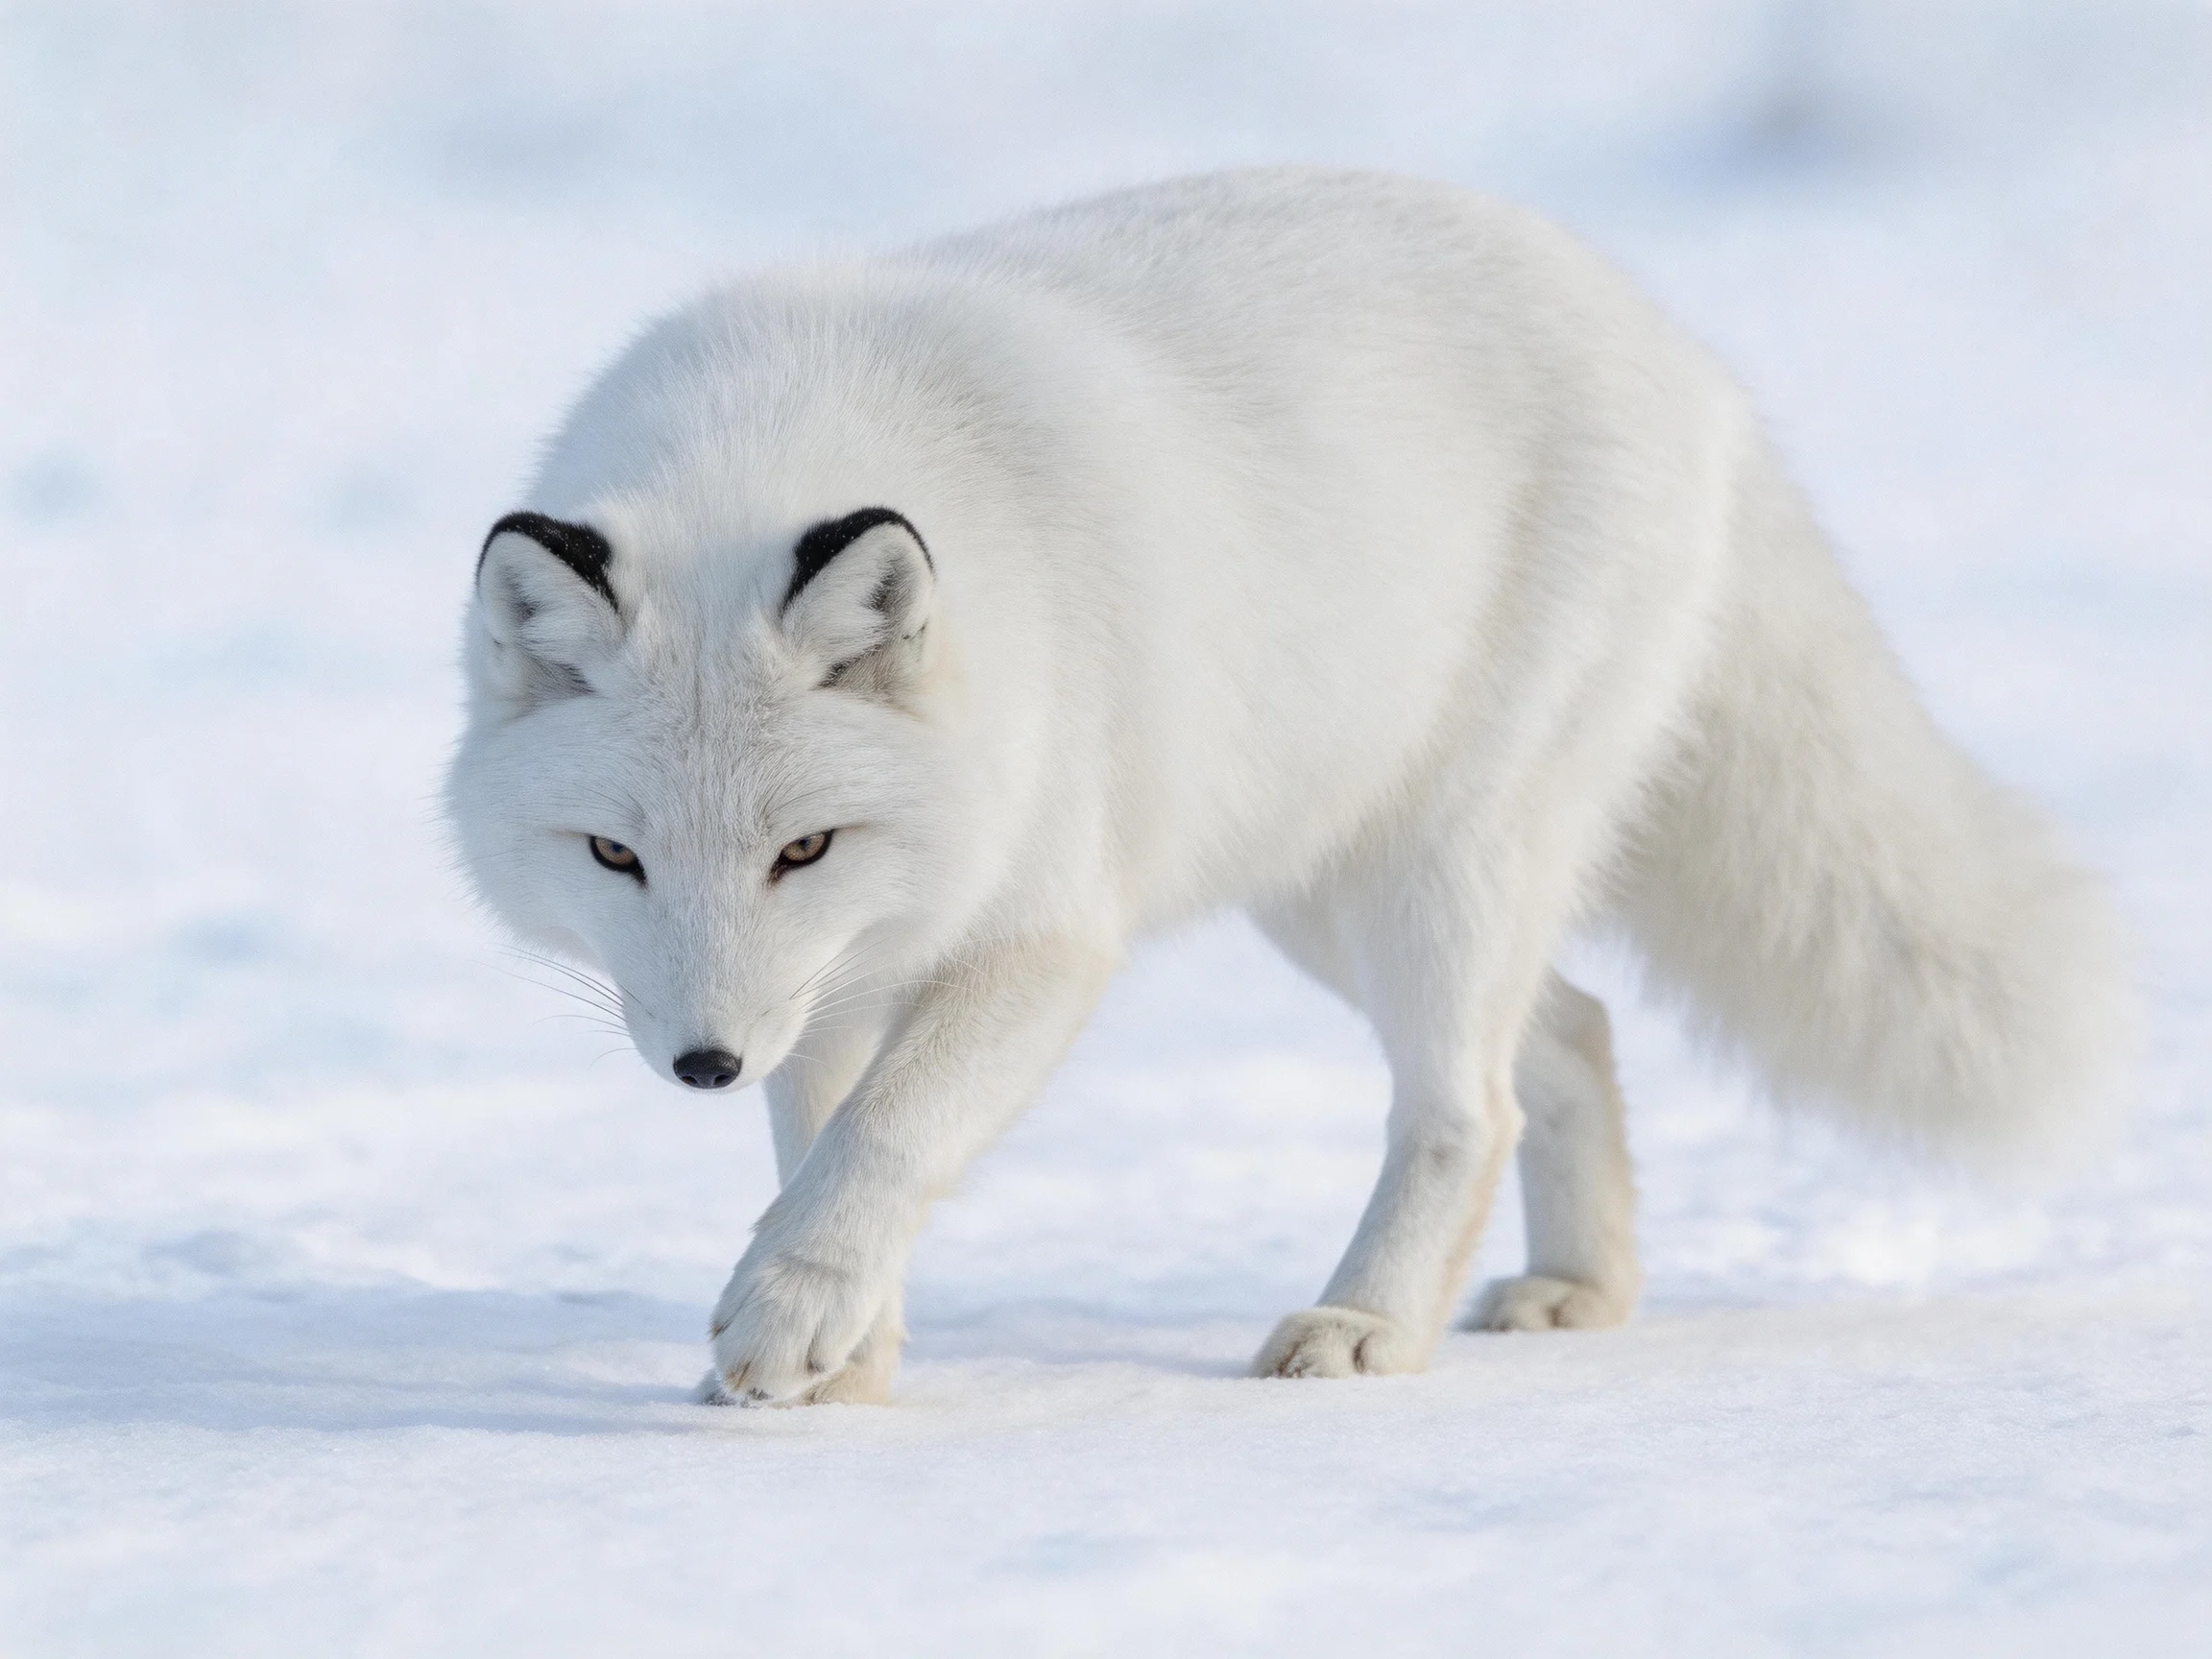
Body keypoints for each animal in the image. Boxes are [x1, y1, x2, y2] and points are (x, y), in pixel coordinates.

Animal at [445, 168, 2126, 1406]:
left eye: (802, 847)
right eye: (612, 855)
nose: (704, 1064)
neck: (771, 448)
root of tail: (1680, 347)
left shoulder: (1042, 934)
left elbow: (885, 1143)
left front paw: (790, 1316)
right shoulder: (848, 974)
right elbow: (824, 1150)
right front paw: (847, 1361)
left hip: (1434, 877)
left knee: (1468, 1107)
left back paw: (1369, 1329)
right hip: (1324, 897)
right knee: (1574, 1035)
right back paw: (1582, 1290)